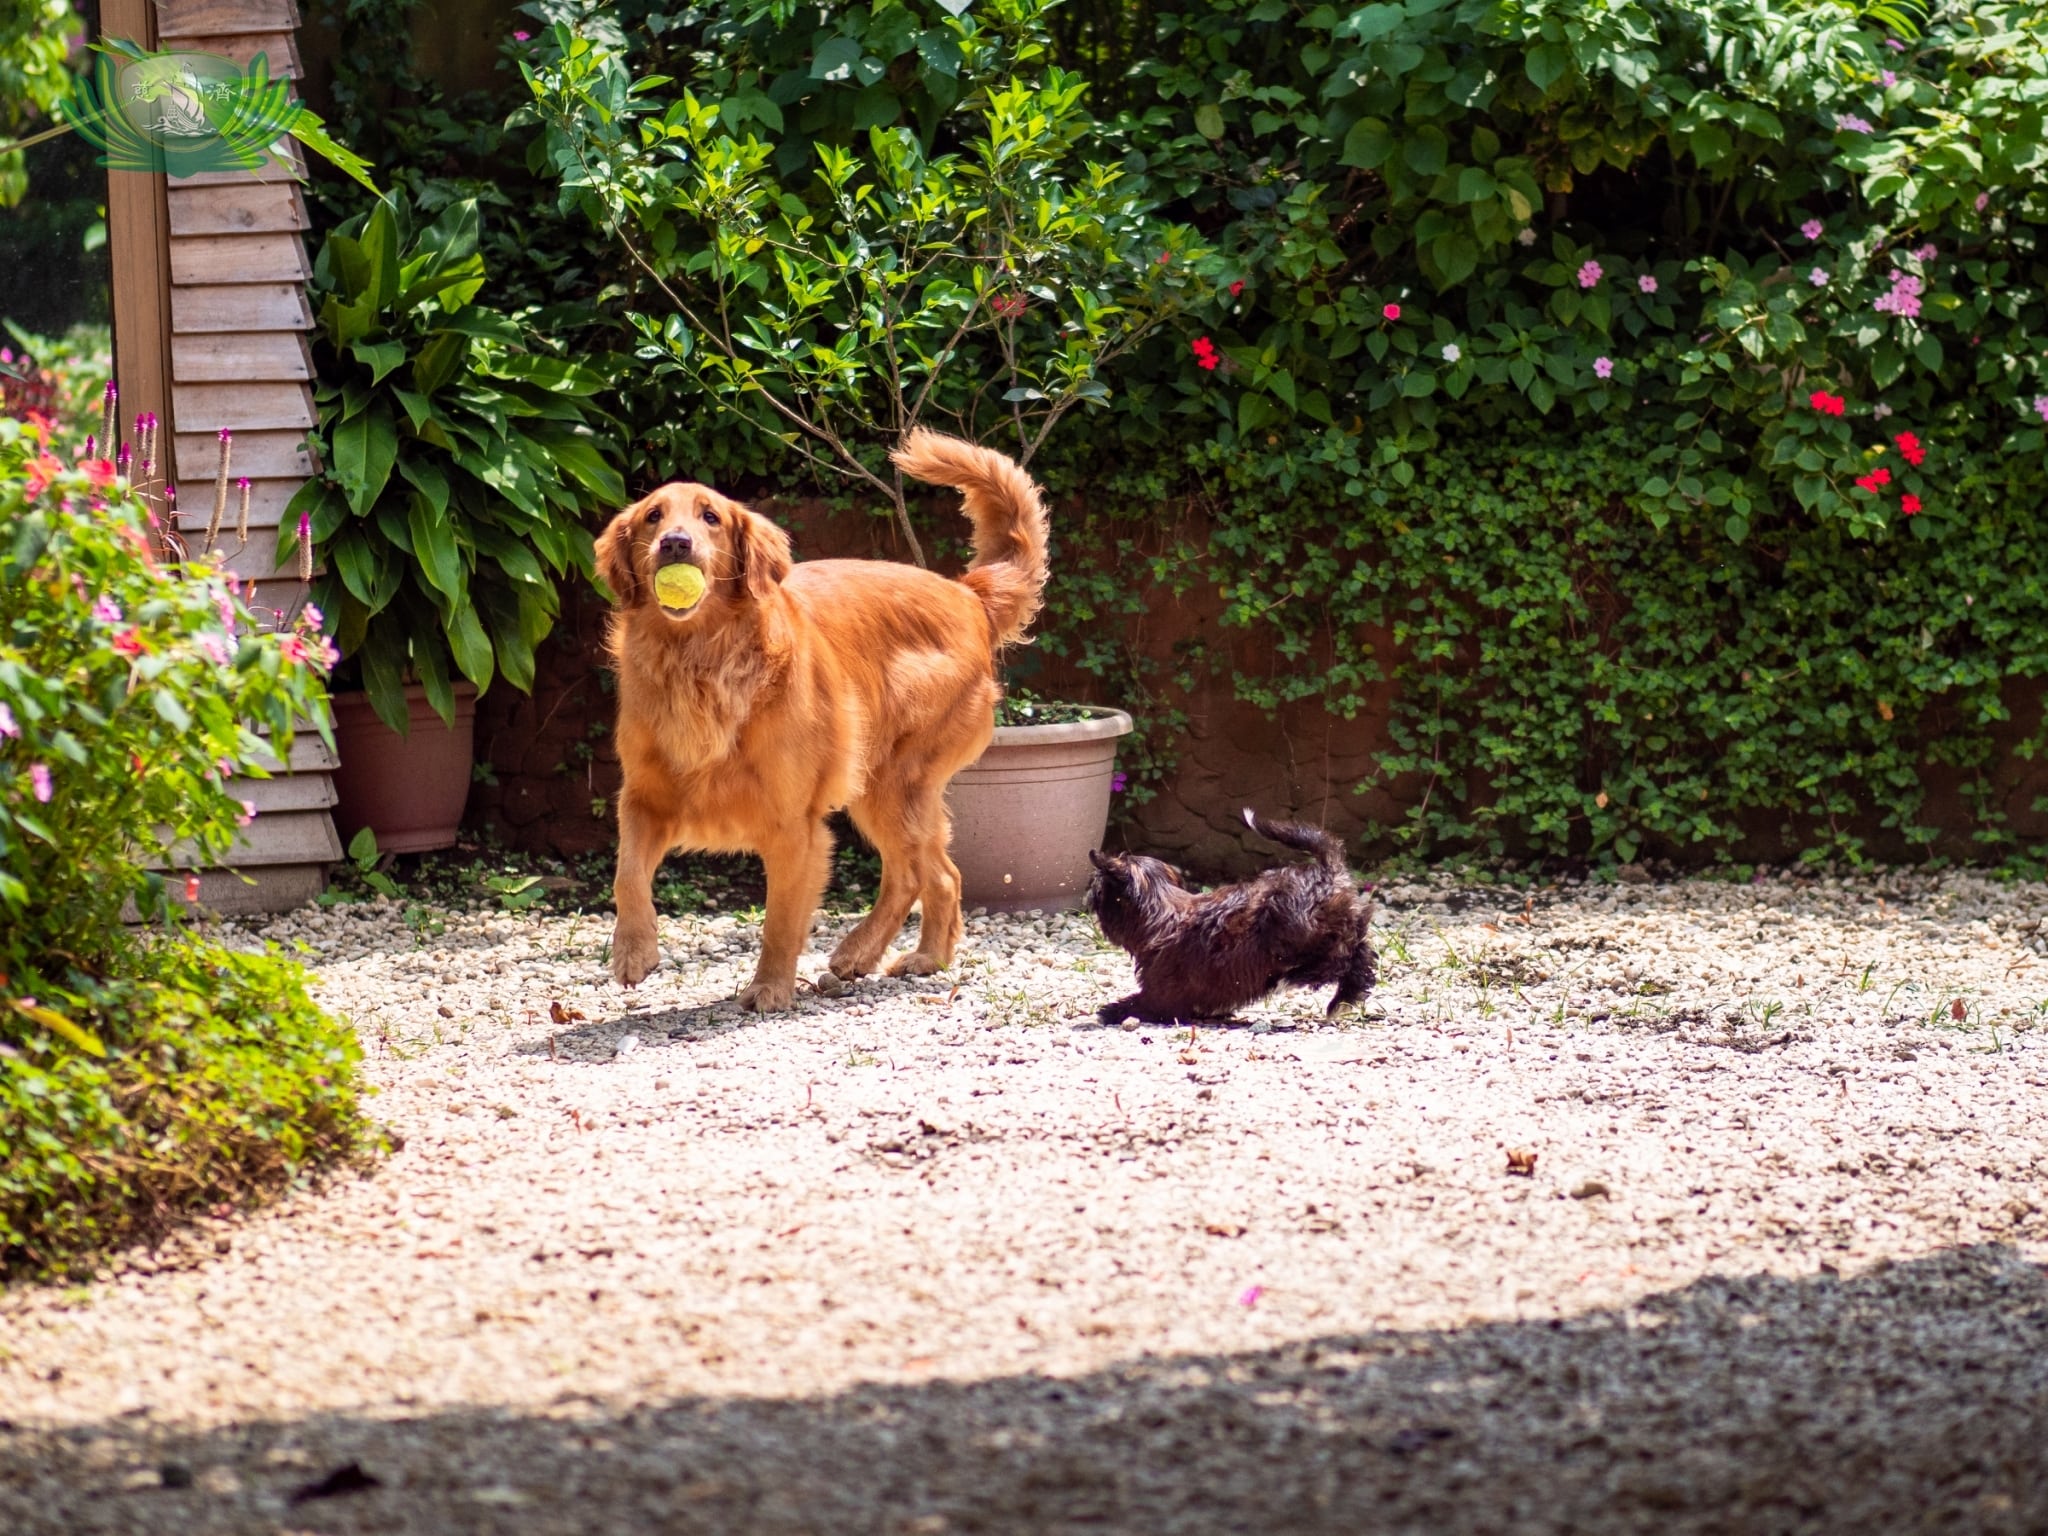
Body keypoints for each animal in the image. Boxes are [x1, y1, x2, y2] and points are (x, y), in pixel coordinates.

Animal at [589, 428, 1040, 1015]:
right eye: (652, 516)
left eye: (710, 517)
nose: (676, 543)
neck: (700, 658)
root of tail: (967, 593)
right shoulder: (644, 798)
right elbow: (627, 875)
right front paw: (633, 951)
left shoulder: (792, 823)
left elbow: (781, 921)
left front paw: (770, 987)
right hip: (879, 785)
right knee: (922, 874)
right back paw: (886, 955)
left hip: (895, 780)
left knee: (932, 872)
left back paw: (906, 955)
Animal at [1089, 811, 1376, 1028]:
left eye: (1100, 894)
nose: (1091, 901)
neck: (1160, 912)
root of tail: (1326, 871)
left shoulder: (1161, 996)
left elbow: (1140, 1003)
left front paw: (1111, 1010)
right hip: (1343, 926)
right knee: (1360, 957)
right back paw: (1343, 997)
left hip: (1294, 929)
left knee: (1337, 961)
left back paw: (1296, 978)